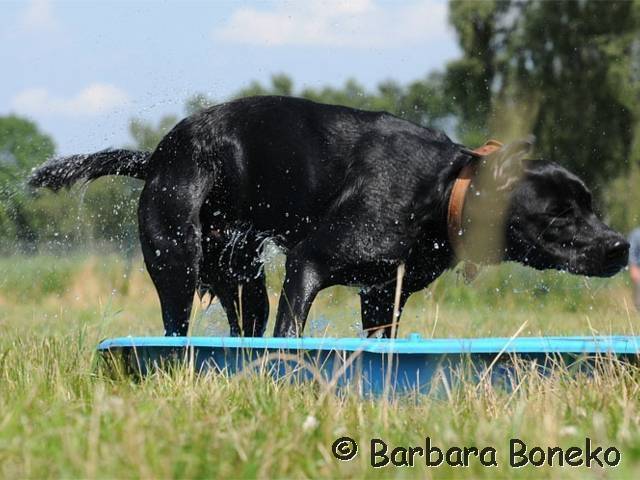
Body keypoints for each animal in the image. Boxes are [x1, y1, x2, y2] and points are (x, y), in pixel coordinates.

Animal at [28, 95, 624, 338]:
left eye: (590, 204)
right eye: (559, 213)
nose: (621, 246)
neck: (439, 189)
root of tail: (154, 158)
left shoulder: (382, 294)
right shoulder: (309, 263)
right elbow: (293, 330)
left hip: (242, 280)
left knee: (245, 325)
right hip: (177, 258)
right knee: (178, 325)